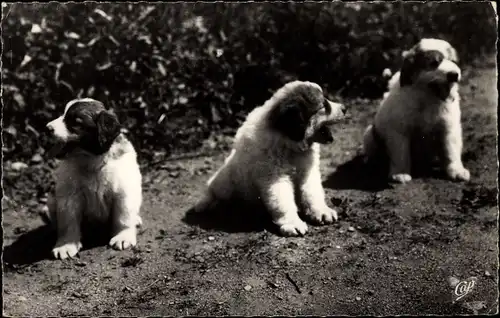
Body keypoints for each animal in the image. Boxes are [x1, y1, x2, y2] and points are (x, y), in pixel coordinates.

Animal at [45, 98, 143, 260]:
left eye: (76, 122)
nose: (47, 128)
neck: (92, 160)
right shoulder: (69, 195)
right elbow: (68, 221)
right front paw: (66, 245)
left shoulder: (124, 190)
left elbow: (123, 216)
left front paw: (123, 237)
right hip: (52, 199)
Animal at [195, 80, 348, 237]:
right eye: (324, 105)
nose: (345, 108)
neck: (289, 145)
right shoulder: (274, 177)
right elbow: (283, 201)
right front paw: (292, 223)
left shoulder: (308, 171)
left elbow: (312, 192)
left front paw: (321, 211)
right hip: (223, 184)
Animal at [364, 39, 468, 184]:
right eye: (434, 63)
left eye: (454, 62)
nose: (454, 75)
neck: (428, 98)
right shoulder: (398, 131)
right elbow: (400, 153)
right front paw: (400, 173)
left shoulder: (449, 128)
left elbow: (451, 151)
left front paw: (457, 171)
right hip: (369, 134)